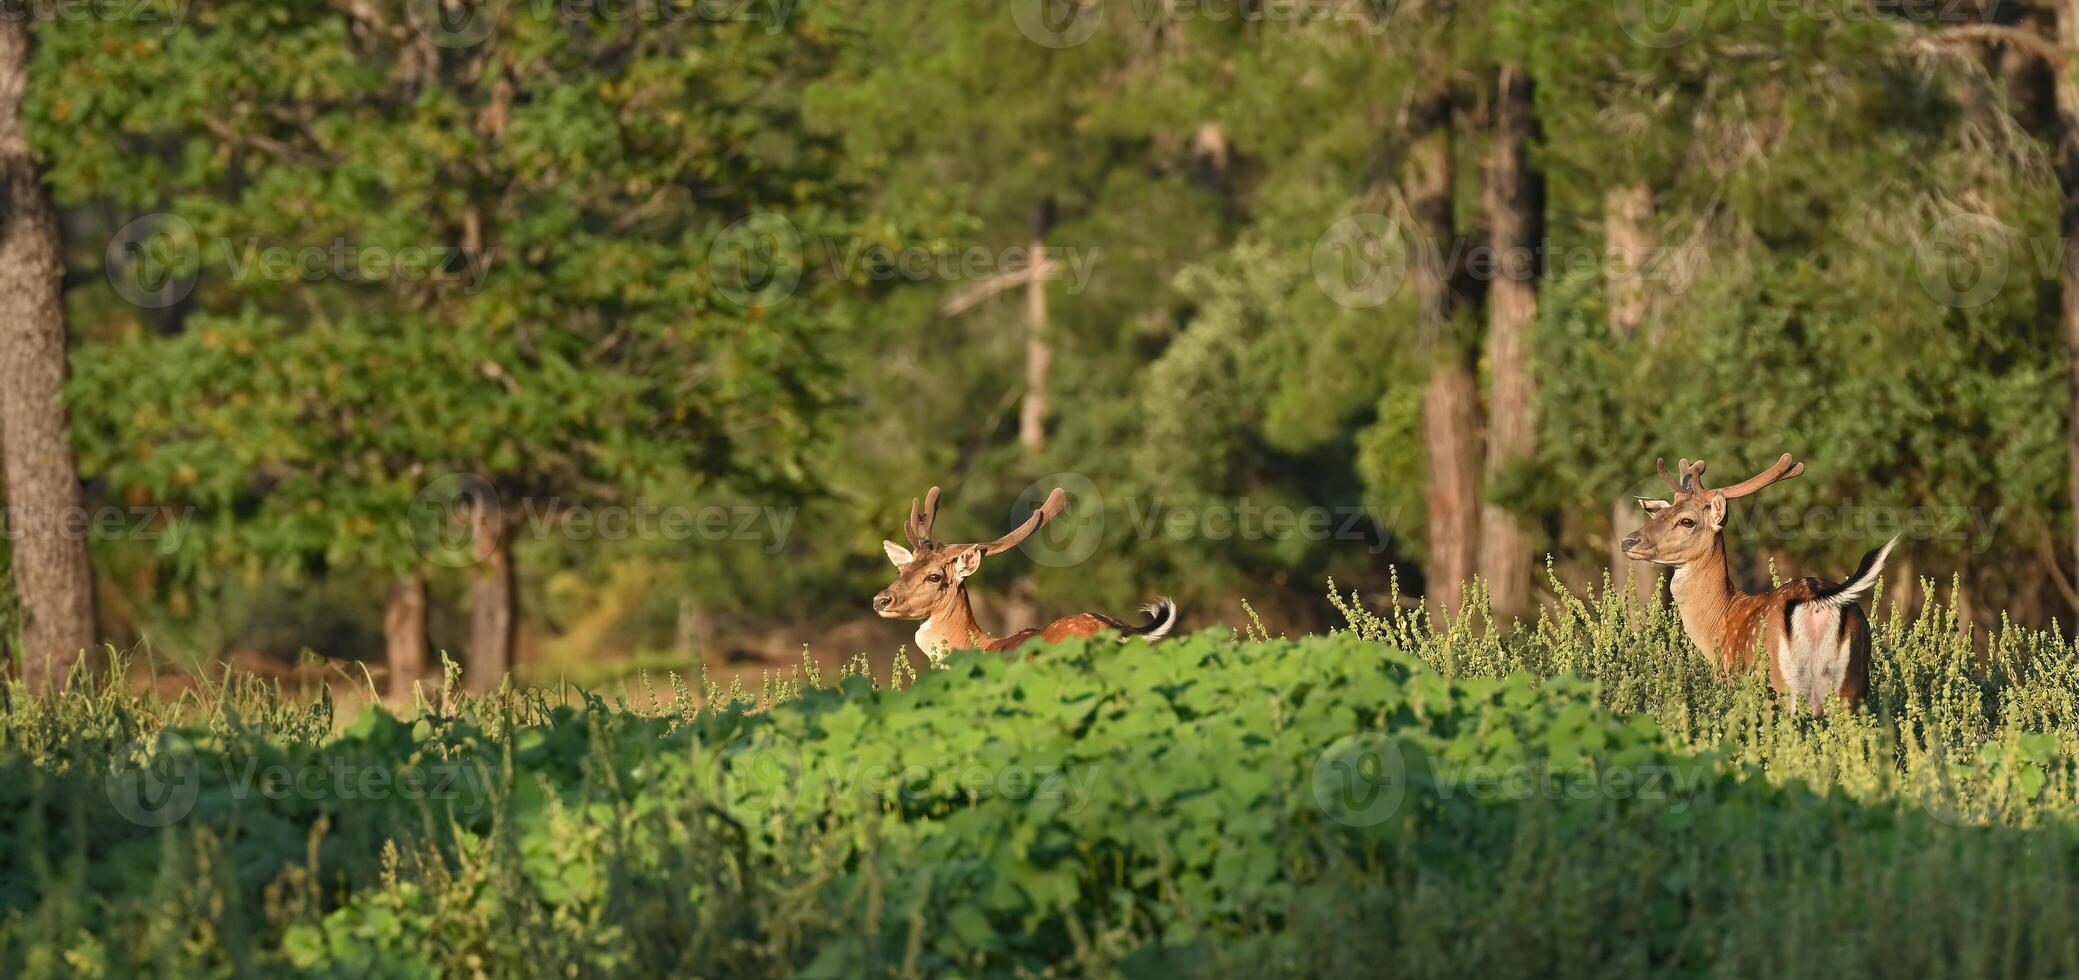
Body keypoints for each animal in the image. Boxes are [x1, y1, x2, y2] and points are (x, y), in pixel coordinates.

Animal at [1621, 455, 1904, 715]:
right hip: (1853, 683)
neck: (1719, 622)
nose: (1628, 541)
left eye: (1687, 521)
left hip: (1778, 681)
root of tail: (1816, 601)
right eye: (1660, 514)